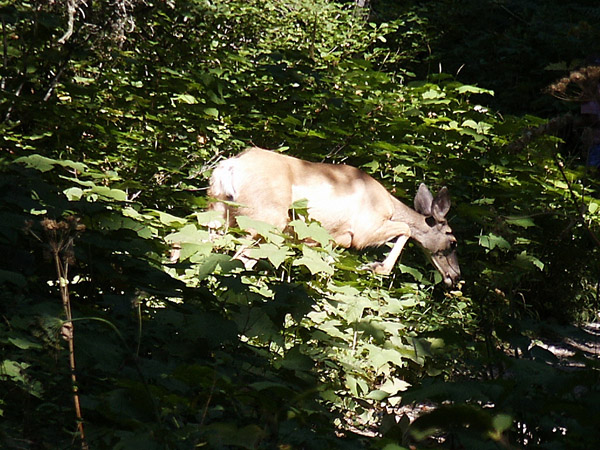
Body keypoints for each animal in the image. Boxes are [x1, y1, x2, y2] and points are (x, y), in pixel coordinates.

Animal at [207, 148, 460, 284]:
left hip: (218, 211)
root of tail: (230, 166)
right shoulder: (364, 231)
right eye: (453, 240)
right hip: (264, 220)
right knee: (239, 258)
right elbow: (406, 229)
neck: (387, 204)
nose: (456, 276)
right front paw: (376, 267)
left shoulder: (332, 239)